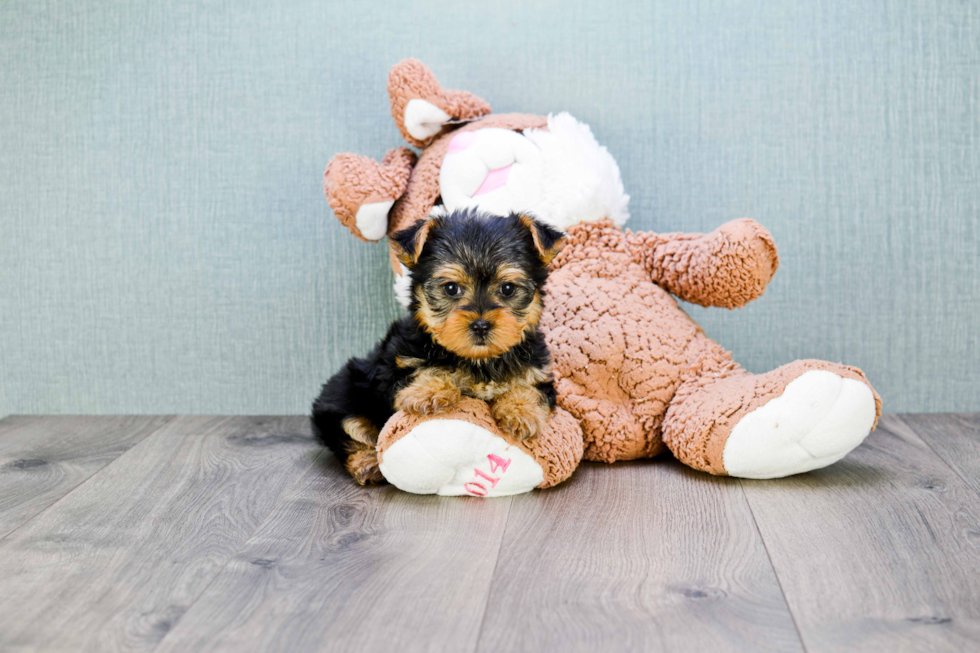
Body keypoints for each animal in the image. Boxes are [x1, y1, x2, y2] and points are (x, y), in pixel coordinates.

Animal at [310, 209, 564, 484]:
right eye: (451, 288)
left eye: (508, 288)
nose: (481, 325)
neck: (479, 360)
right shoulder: (396, 369)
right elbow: (424, 372)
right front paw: (430, 392)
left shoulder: (539, 374)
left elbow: (530, 389)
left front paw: (520, 412)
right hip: (343, 396)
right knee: (350, 431)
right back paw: (366, 463)